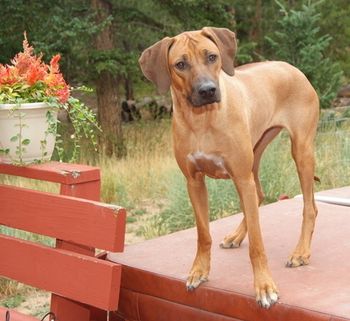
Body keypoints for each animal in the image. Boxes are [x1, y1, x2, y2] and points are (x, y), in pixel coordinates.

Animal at [138, 27, 318, 308]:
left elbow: (257, 244)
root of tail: (291, 67)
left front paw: (264, 287)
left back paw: (301, 252)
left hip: (301, 151)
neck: (202, 121)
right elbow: (203, 234)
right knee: (259, 195)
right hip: (255, 152)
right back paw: (235, 236)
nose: (208, 90)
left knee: (309, 206)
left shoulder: (241, 177)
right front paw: (199, 271)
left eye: (212, 56)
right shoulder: (194, 182)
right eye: (180, 64)